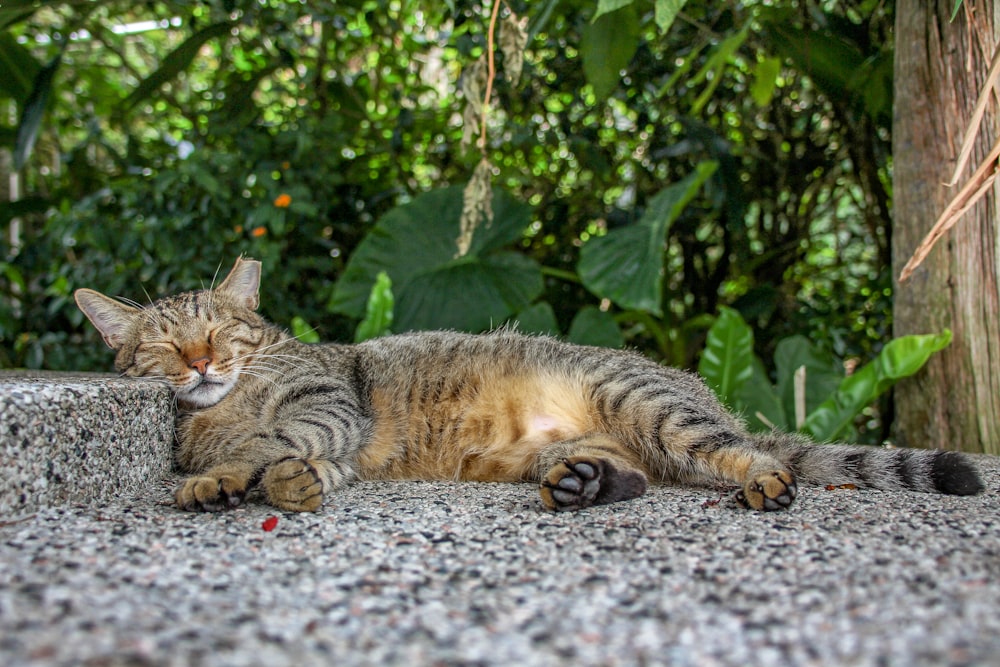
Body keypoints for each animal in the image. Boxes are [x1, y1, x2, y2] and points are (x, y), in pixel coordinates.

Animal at [72, 258, 984, 516]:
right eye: (163, 345)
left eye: (219, 331)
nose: (198, 362)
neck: (225, 404)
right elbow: (278, 462)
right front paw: (243, 478)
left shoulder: (326, 402)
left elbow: (284, 444)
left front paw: (246, 474)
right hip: (548, 452)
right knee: (635, 476)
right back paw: (586, 483)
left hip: (651, 404)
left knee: (748, 452)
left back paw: (765, 478)